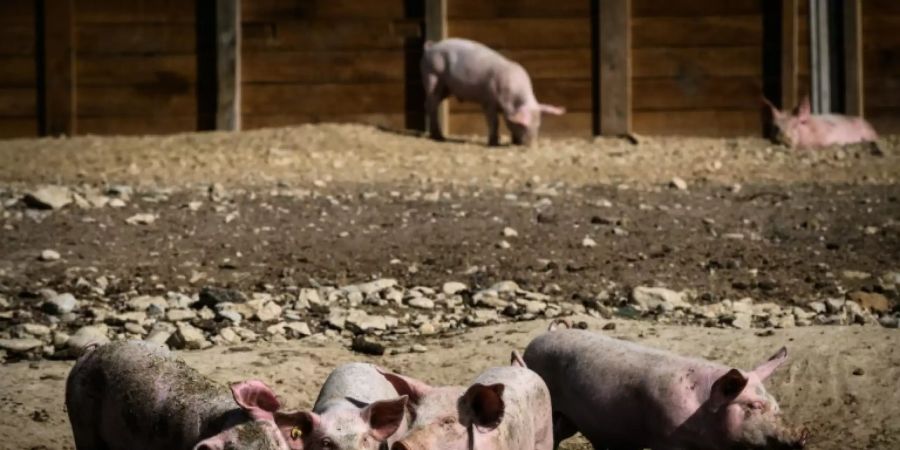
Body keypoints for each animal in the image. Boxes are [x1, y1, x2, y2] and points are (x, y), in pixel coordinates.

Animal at [420, 37, 564, 146]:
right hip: (433, 75)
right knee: (431, 104)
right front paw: (494, 143)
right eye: (523, 125)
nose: (530, 145)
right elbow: (494, 121)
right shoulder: (488, 100)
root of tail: (431, 47)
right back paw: (439, 138)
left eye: (538, 125)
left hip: (446, 88)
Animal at [520, 326, 808, 450]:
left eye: (776, 405)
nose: (802, 432)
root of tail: (545, 333)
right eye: (753, 405)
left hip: (571, 419)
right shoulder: (668, 439)